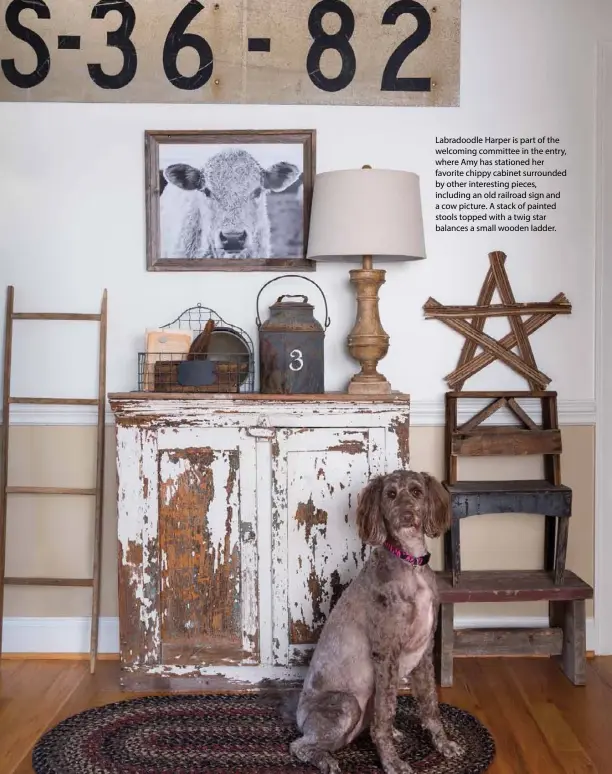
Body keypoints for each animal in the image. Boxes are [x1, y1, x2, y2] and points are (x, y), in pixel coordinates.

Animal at [290, 470, 462, 774]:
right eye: (390, 494)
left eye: (416, 492)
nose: (406, 515)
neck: (410, 563)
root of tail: (300, 717)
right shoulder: (386, 653)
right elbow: (385, 714)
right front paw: (392, 762)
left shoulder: (425, 651)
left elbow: (430, 704)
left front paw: (443, 744)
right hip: (346, 705)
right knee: (300, 745)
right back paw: (326, 760)